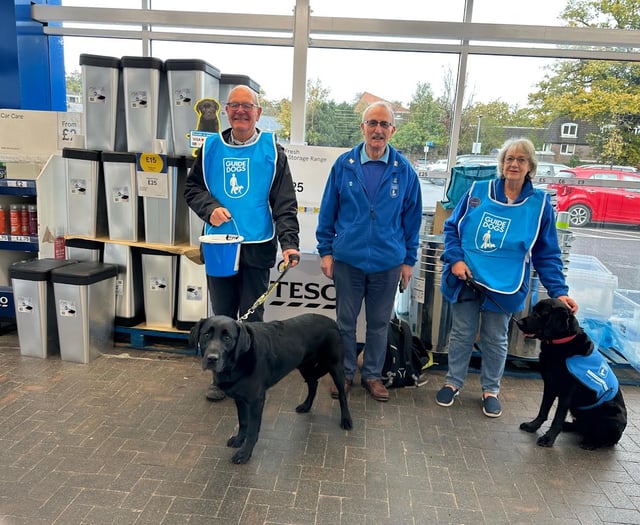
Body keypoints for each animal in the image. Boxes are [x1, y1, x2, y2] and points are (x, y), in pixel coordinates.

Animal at [190, 312, 352, 462]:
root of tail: (332, 321)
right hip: (303, 365)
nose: (211, 358)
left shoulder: (256, 400)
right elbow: (243, 422)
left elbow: (252, 429)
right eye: (206, 335)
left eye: (227, 338)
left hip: (335, 367)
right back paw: (306, 406)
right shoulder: (240, 398)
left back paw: (346, 420)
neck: (238, 361)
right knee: (313, 382)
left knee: (342, 395)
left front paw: (245, 453)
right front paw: (239, 440)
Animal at [516, 296, 624, 448]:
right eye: (533, 310)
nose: (518, 322)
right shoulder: (549, 385)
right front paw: (533, 426)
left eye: (540, 314)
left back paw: (590, 443)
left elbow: (557, 418)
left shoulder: (566, 393)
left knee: (609, 441)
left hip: (610, 417)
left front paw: (548, 439)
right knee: (581, 426)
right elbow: (543, 410)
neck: (559, 344)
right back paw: (569, 426)